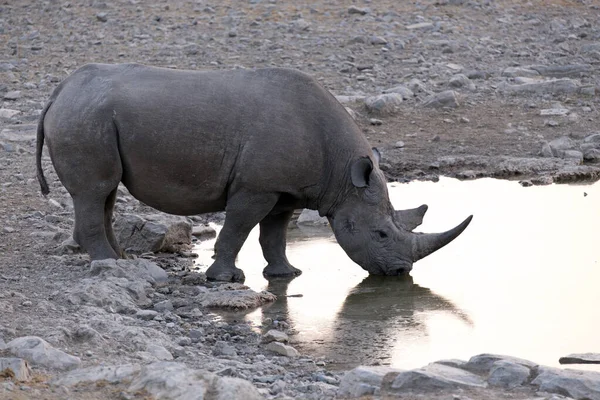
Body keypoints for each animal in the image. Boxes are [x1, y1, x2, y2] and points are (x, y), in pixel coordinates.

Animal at [36, 63, 474, 282]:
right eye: (381, 234)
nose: (401, 272)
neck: (342, 175)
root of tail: (60, 91)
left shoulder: (286, 190)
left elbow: (274, 235)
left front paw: (286, 275)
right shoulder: (256, 187)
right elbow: (238, 229)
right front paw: (226, 279)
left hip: (91, 115)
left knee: (105, 193)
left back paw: (122, 259)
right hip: (85, 117)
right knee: (96, 191)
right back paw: (108, 266)